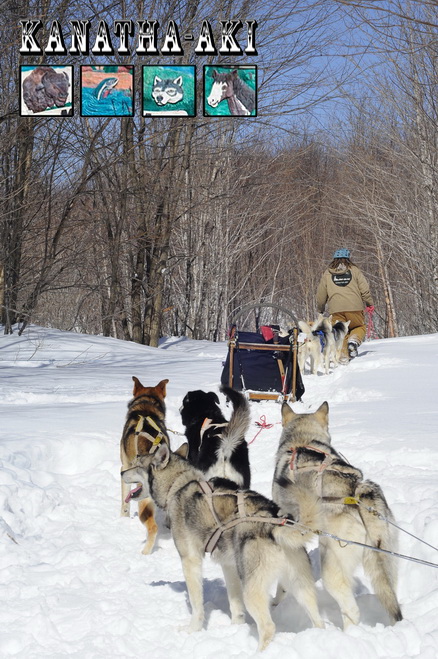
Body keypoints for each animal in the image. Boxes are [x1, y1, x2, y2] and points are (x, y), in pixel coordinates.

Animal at [120, 378, 170, 556]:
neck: (146, 409)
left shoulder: (124, 467)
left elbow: (124, 502)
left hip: (144, 502)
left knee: (153, 527)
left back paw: (145, 552)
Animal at [121, 446, 324, 652]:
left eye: (137, 464)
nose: (121, 473)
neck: (178, 485)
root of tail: (274, 525)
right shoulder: (229, 566)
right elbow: (235, 604)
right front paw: (236, 627)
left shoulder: (190, 560)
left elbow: (196, 604)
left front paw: (192, 630)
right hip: (301, 587)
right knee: (317, 620)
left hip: (252, 591)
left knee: (268, 628)